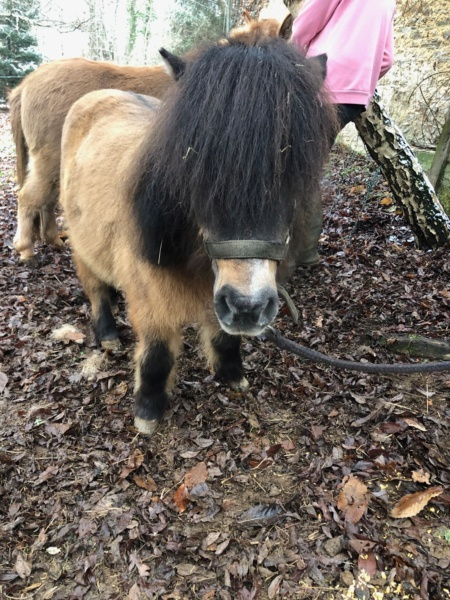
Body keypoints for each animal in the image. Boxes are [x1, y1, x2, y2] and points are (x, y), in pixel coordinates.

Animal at [8, 11, 294, 260]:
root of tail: (27, 82)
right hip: (48, 158)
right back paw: (26, 249)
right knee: (30, 196)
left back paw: (53, 239)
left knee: (46, 198)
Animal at [59, 30, 334, 434]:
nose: (249, 308)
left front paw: (231, 373)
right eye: (197, 171)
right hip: (80, 243)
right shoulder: (151, 301)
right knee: (95, 289)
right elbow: (156, 354)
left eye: (294, 171)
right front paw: (148, 409)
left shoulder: (216, 293)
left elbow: (224, 336)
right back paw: (107, 334)